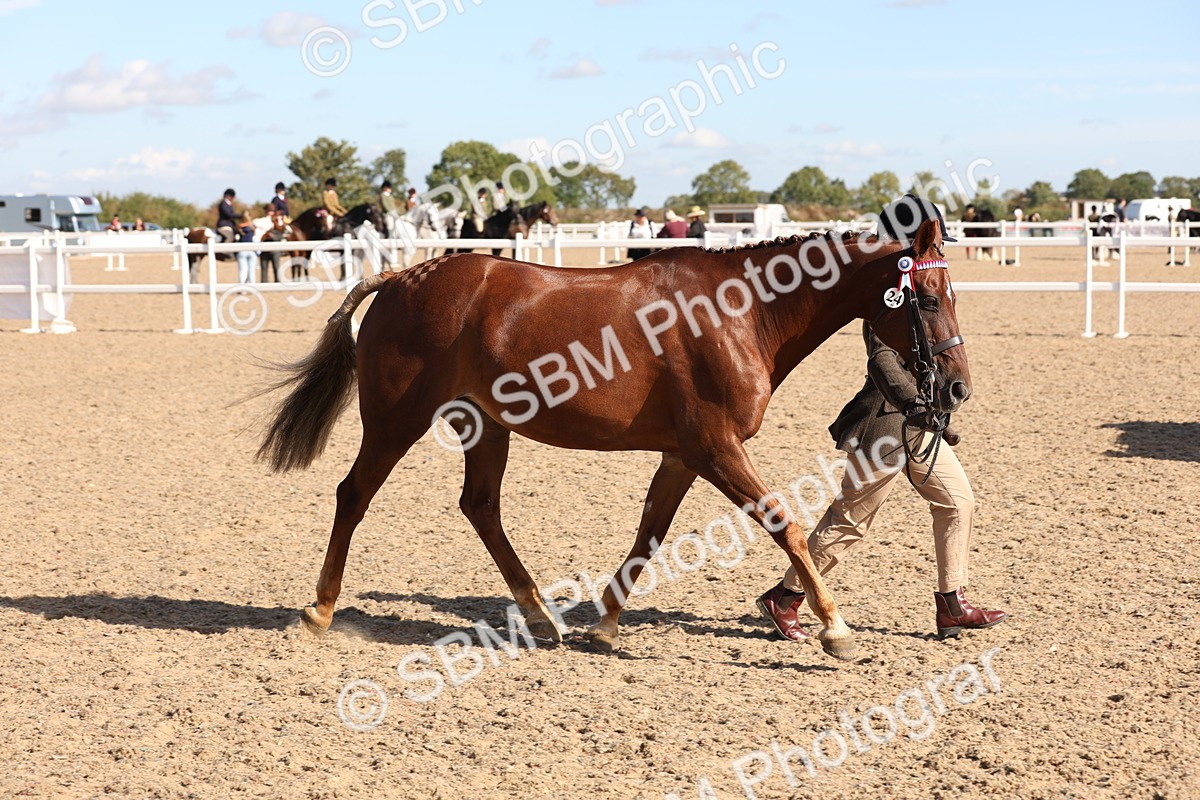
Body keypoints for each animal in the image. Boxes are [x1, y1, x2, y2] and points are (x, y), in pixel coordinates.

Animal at [256, 218, 970, 662]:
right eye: (930, 299)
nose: (957, 388)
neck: (741, 313)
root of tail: (401, 278)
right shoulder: (716, 448)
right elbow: (785, 525)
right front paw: (836, 629)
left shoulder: (684, 454)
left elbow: (649, 533)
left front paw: (603, 625)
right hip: (396, 422)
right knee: (354, 495)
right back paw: (319, 611)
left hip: (486, 428)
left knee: (480, 507)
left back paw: (541, 617)